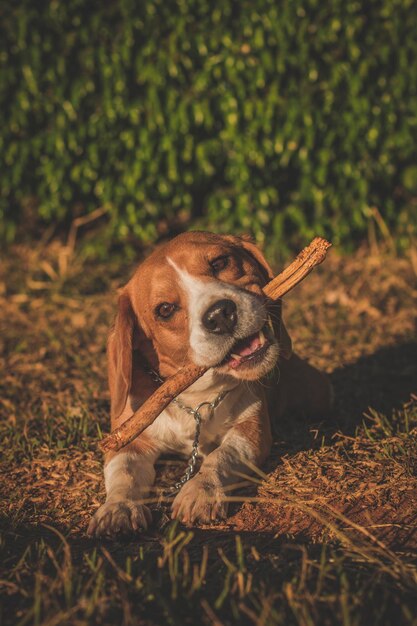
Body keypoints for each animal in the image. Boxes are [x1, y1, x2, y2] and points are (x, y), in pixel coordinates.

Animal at [88, 232, 332, 532]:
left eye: (220, 262)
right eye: (165, 309)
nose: (219, 315)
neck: (195, 397)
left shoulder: (252, 430)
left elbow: (222, 456)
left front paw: (200, 491)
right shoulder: (129, 441)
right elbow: (124, 473)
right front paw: (117, 508)